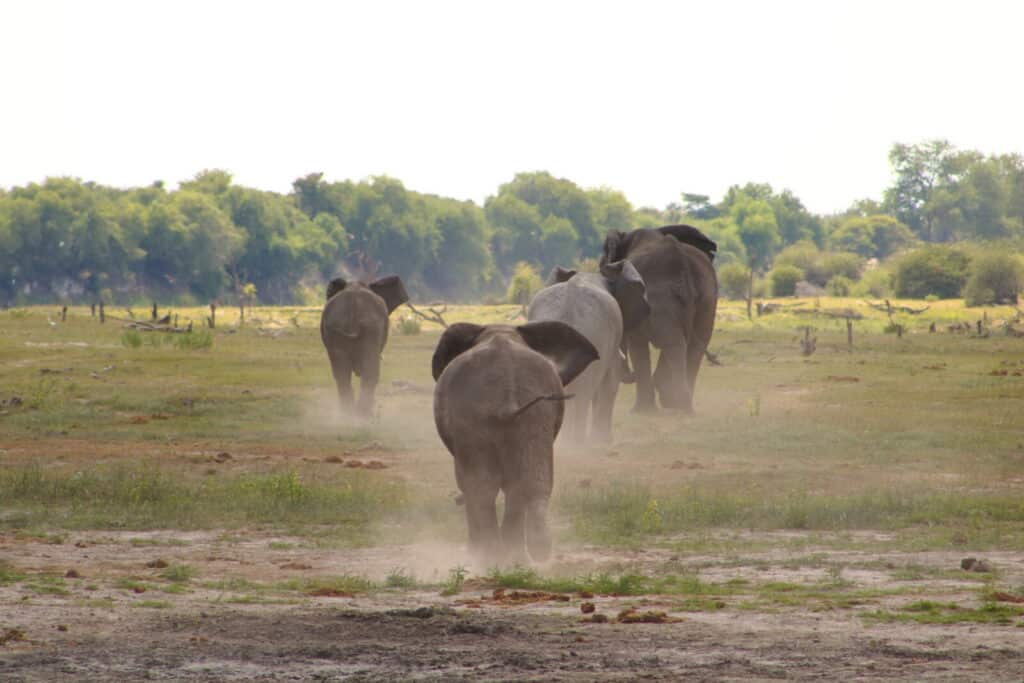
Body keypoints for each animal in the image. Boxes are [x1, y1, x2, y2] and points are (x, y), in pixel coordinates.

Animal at [432, 321, 598, 565]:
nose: (455, 501)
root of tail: (508, 389)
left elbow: (467, 482)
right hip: (535, 416)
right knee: (533, 482)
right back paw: (532, 552)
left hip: (475, 421)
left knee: (483, 487)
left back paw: (490, 557)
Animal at [598, 227, 720, 413]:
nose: (630, 375)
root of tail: (683, 265)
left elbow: (637, 341)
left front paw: (642, 411)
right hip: (706, 298)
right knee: (694, 344)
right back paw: (680, 405)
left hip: (662, 298)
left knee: (673, 343)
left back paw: (679, 405)